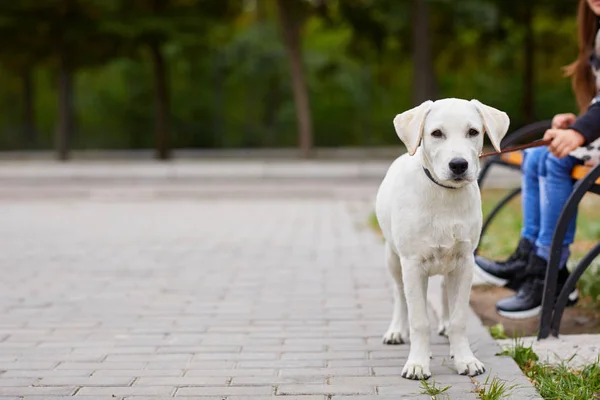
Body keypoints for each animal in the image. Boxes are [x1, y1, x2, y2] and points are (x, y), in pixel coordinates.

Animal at [378, 98, 508, 380]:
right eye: (436, 133)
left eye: (473, 132)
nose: (458, 165)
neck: (445, 194)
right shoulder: (413, 264)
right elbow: (419, 319)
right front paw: (417, 364)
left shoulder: (465, 262)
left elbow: (459, 318)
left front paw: (465, 360)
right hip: (393, 258)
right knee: (399, 294)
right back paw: (396, 331)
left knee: (445, 293)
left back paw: (446, 329)